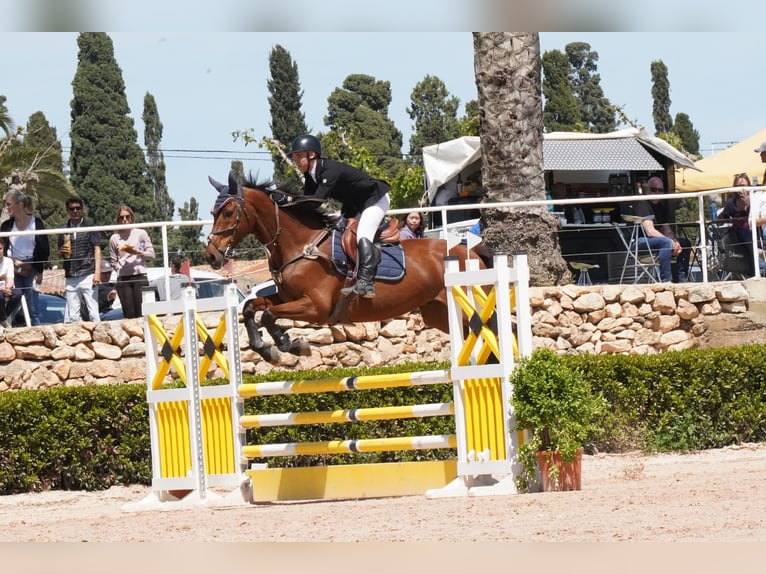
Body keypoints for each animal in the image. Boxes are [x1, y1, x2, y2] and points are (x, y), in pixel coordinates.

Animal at [204, 171, 490, 362]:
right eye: (212, 213)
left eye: (228, 213)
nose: (211, 256)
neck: (301, 245)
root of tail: (470, 250)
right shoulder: (286, 297)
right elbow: (251, 308)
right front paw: (268, 349)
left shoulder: (316, 307)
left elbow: (268, 315)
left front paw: (290, 345)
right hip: (438, 312)